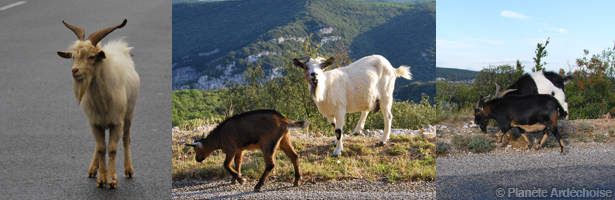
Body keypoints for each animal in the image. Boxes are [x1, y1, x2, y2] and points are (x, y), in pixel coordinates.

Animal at [56, 19, 140, 189]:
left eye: (92, 56)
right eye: (73, 56)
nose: (75, 70)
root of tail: (120, 48)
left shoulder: (117, 122)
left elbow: (112, 149)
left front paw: (112, 179)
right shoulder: (94, 122)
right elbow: (101, 148)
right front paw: (102, 178)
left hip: (129, 114)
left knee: (126, 139)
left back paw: (128, 170)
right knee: (98, 145)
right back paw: (93, 169)